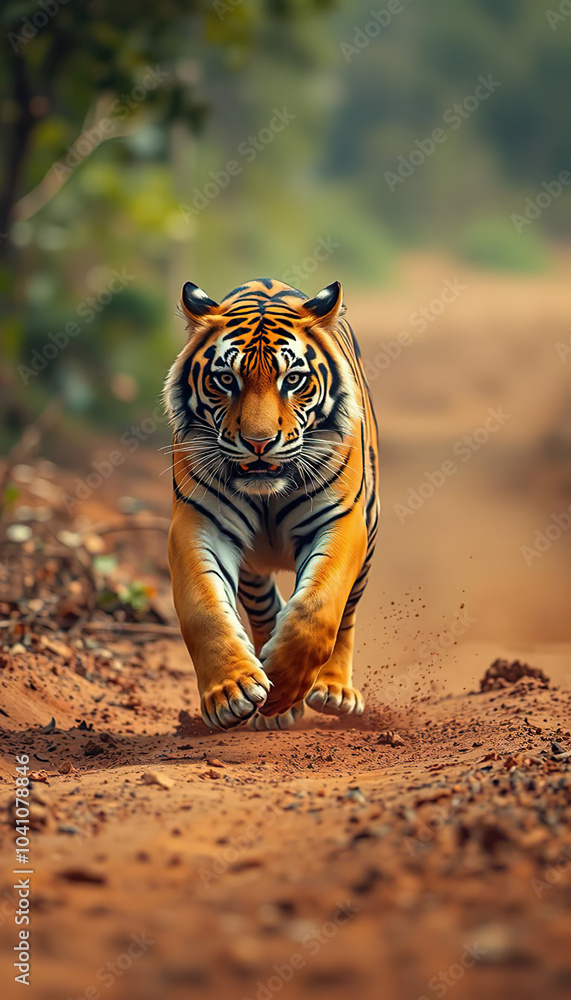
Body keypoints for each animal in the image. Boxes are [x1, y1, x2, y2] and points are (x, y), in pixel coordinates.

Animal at [164, 277, 379, 731]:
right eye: (225, 379)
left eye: (293, 379)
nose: (258, 442)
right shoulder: (199, 521)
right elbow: (203, 608)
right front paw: (233, 692)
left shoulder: (340, 519)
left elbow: (318, 607)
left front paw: (282, 682)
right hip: (252, 564)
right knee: (263, 610)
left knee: (346, 613)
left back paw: (333, 690)